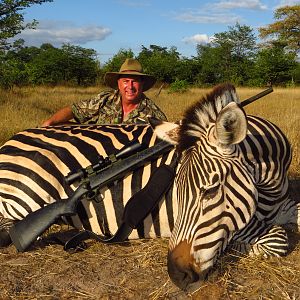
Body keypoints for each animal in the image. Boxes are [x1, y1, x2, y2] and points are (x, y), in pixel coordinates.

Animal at [0, 83, 298, 290]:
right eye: (177, 190)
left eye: (211, 190)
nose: (177, 274)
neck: (271, 186)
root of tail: (11, 141)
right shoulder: (244, 222)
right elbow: (277, 239)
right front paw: (237, 249)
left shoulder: (284, 201)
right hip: (20, 199)